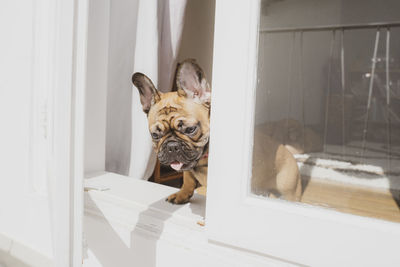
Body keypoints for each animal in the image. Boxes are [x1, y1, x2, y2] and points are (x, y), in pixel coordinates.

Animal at [133, 59, 302, 204]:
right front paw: (182, 195)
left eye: (190, 129)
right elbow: (187, 178)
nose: (171, 146)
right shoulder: (186, 167)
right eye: (155, 135)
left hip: (289, 188)